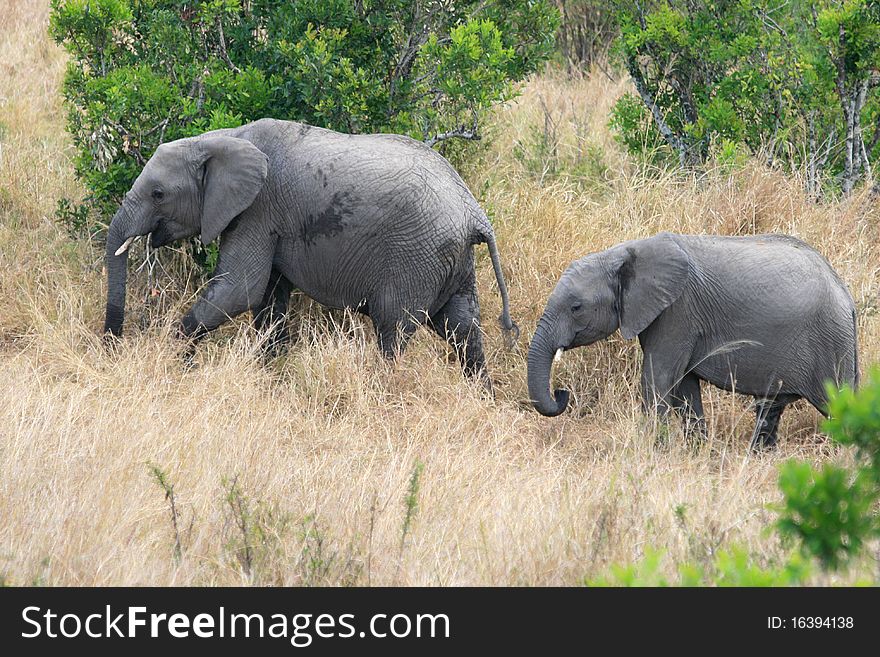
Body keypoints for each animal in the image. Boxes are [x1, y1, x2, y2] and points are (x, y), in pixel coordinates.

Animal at [104, 118, 520, 380]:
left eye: (158, 194)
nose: (111, 348)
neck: (222, 138)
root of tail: (475, 213)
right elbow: (268, 301)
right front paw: (269, 374)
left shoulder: (258, 209)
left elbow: (240, 290)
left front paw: (177, 364)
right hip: (452, 258)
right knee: (461, 327)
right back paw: (480, 395)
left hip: (417, 255)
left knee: (394, 328)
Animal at [524, 232, 856, 452]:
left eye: (576, 307)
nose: (562, 392)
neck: (623, 252)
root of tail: (846, 295)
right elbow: (684, 387)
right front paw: (697, 452)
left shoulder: (677, 313)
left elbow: (658, 379)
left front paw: (650, 451)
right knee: (770, 407)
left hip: (831, 343)